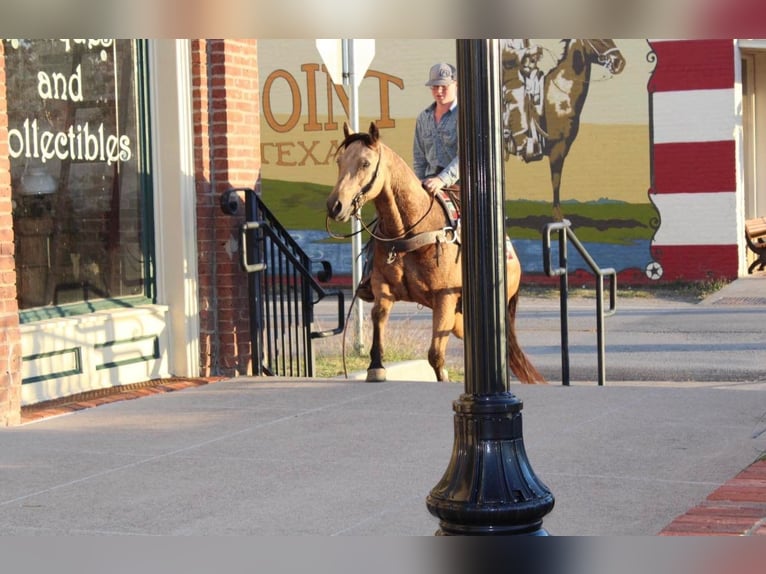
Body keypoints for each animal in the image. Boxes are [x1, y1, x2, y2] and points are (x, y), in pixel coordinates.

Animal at [326, 124, 544, 390]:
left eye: (365, 163)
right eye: (339, 161)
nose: (335, 206)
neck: (411, 230)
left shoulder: (444, 299)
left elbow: (435, 354)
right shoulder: (382, 286)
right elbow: (379, 316)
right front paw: (376, 366)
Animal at [508, 39, 628, 220]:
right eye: (596, 39)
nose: (619, 63)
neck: (560, 95)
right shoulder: (558, 147)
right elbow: (556, 179)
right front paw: (558, 217)